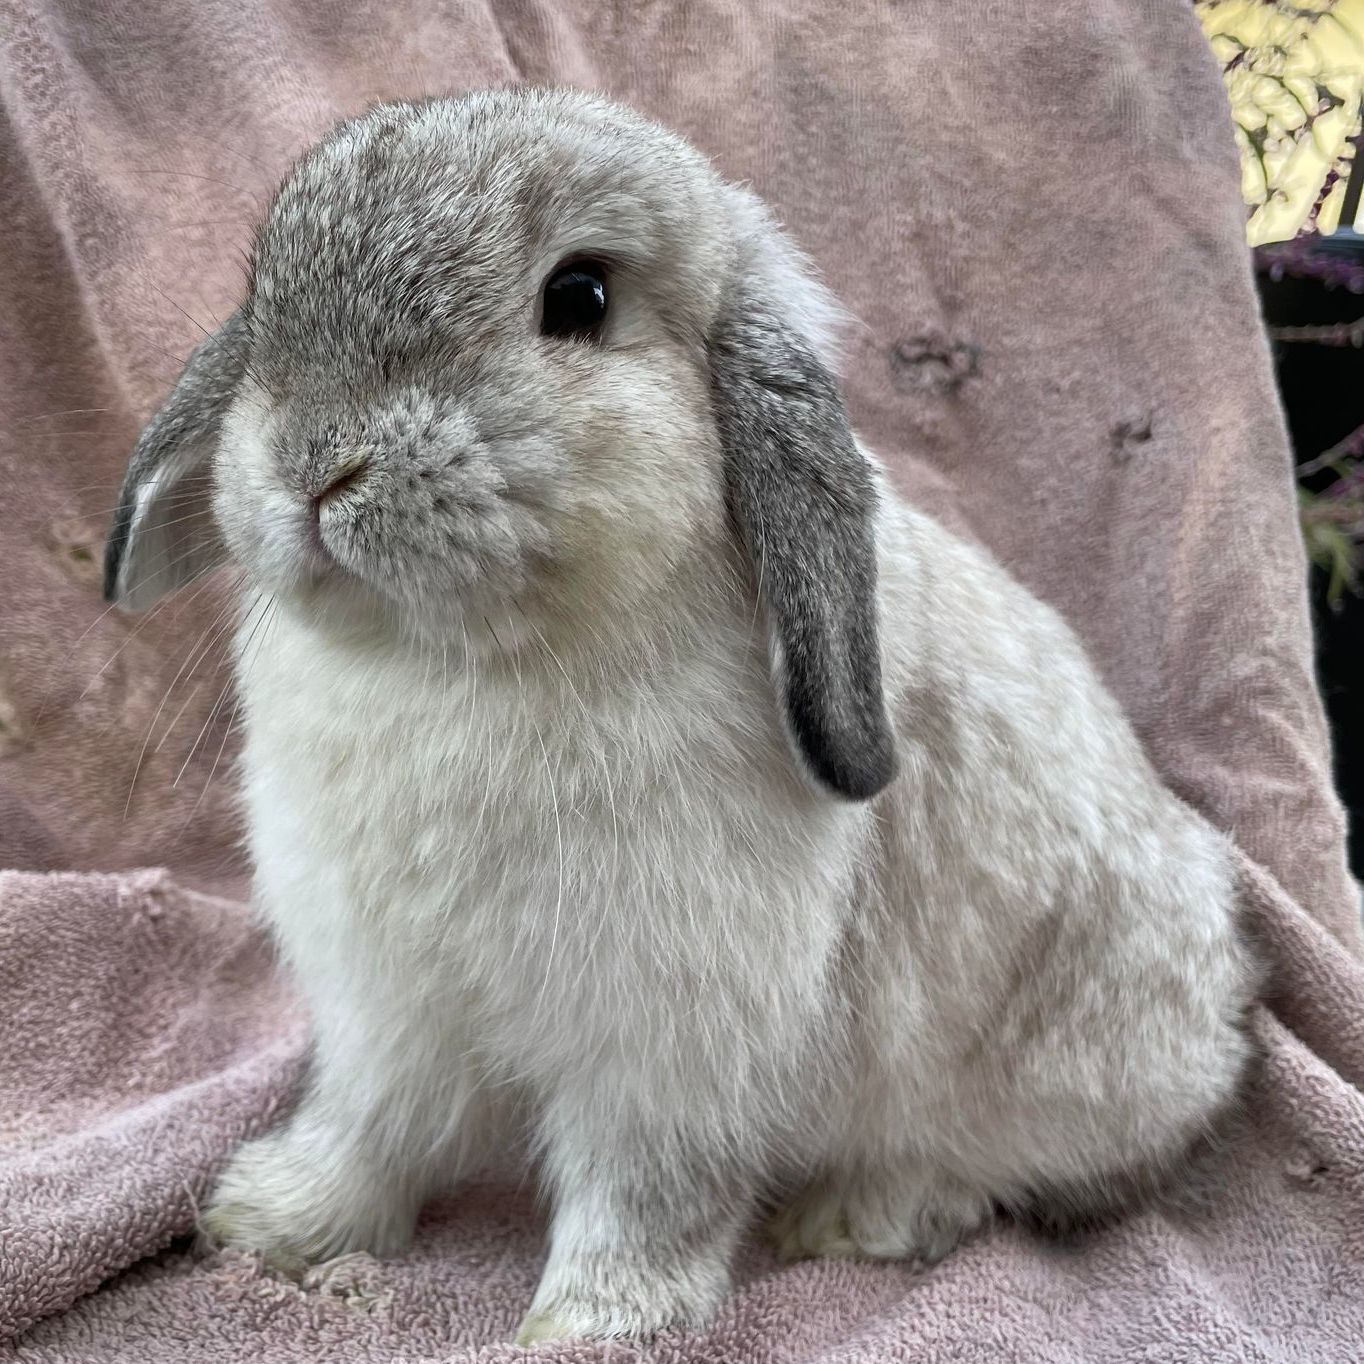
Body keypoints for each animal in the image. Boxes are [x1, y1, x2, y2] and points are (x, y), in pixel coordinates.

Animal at [106, 90, 1254, 1347]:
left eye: (579, 298)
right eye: (264, 298)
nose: (317, 465)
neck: (456, 661)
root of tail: (1223, 1013)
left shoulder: (669, 1049)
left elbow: (643, 1189)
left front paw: (595, 1323)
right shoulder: (388, 1009)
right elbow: (370, 1126)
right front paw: (272, 1220)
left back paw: (865, 1212)